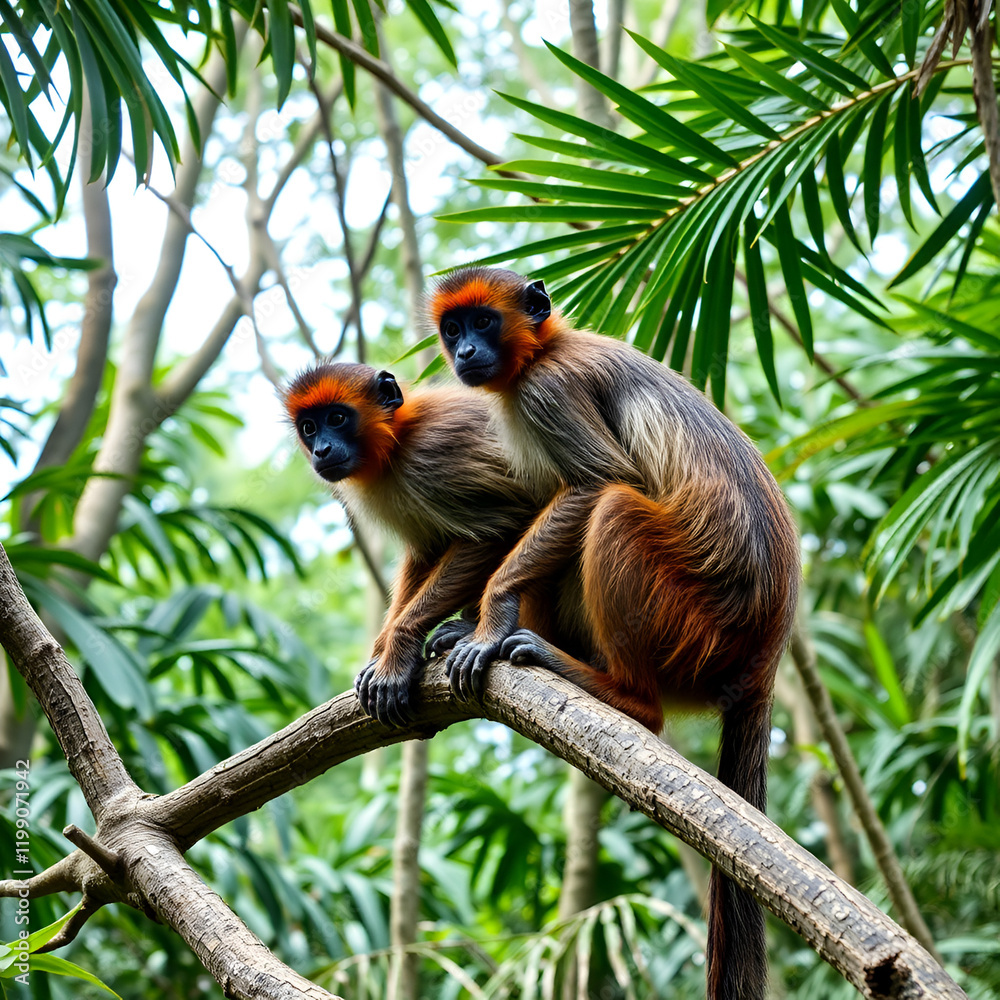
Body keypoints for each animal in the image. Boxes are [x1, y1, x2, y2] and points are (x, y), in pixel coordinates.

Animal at [281, 361, 541, 727]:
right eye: (309, 428)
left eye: (337, 419)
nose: (321, 450)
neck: (398, 438)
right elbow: (426, 551)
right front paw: (381, 653)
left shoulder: (435, 456)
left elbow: (499, 527)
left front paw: (396, 654)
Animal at [429, 267, 800, 1000]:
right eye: (453, 330)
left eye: (483, 323)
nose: (466, 353)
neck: (543, 351)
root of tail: (765, 654)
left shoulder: (547, 392)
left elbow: (598, 481)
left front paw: (490, 616)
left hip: (695, 628)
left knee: (613, 506)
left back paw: (623, 695)